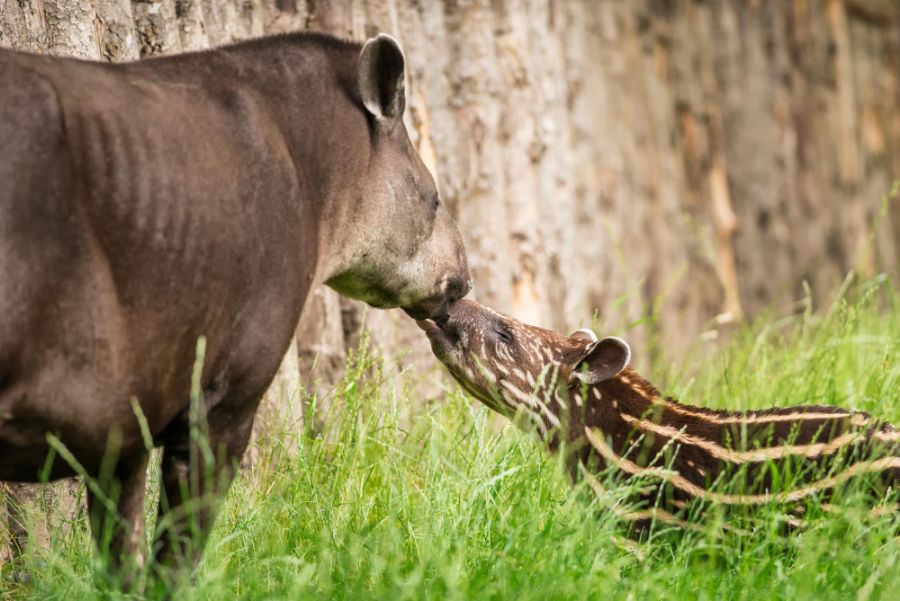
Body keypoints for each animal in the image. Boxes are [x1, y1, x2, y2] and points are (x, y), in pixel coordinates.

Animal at [3, 32, 472, 576]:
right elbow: (174, 557)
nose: (463, 281)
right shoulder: (225, 396)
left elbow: (121, 554)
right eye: (432, 200)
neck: (312, 167)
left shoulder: (125, 424)